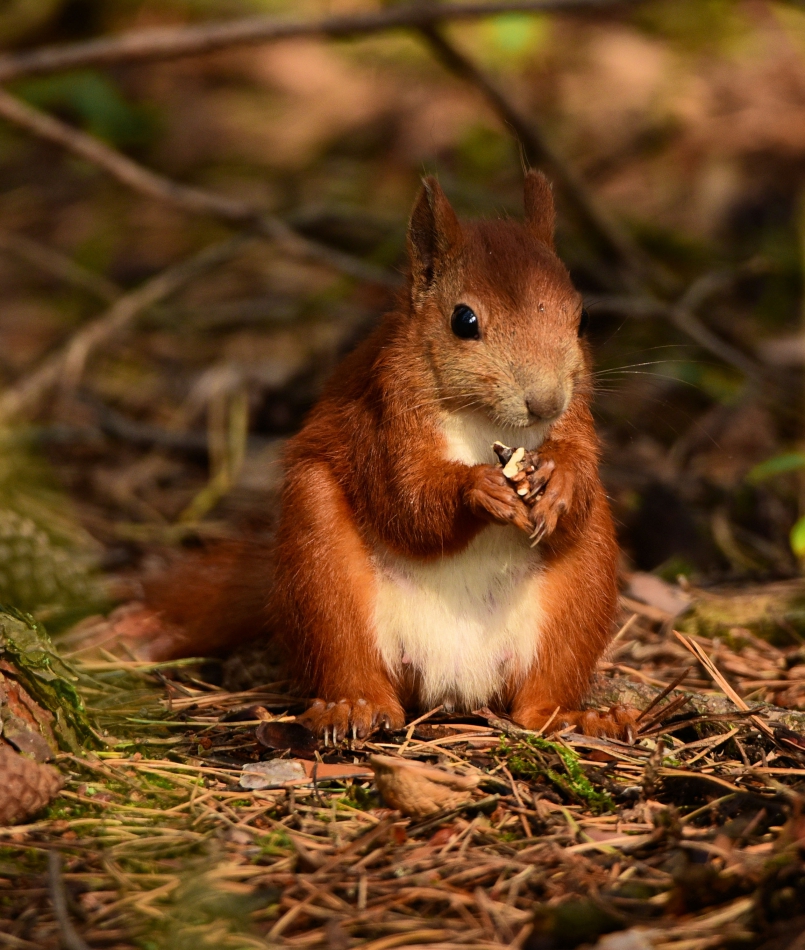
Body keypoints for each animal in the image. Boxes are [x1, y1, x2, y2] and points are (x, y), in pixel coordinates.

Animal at [144, 175, 636, 748]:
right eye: (463, 320)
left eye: (582, 318)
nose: (545, 402)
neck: (485, 420)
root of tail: (455, 682)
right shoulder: (381, 418)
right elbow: (404, 500)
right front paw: (477, 490)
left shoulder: (576, 421)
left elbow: (578, 467)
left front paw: (560, 481)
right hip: (321, 562)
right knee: (350, 657)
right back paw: (353, 708)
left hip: (583, 585)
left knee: (536, 700)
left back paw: (578, 718)